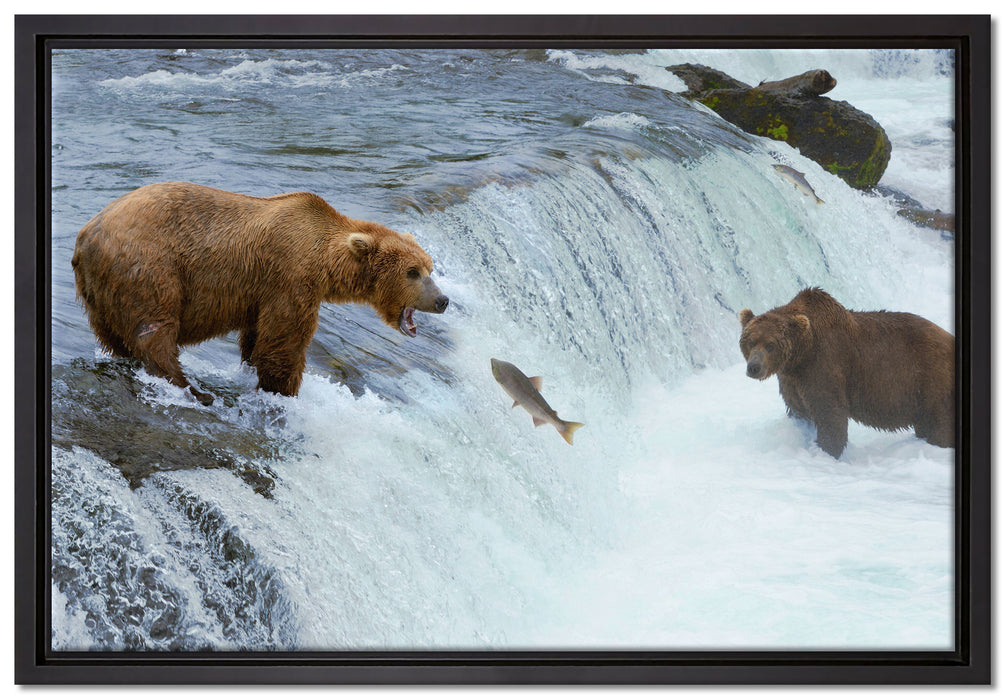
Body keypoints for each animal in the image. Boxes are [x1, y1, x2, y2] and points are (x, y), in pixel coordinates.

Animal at [72, 181, 449, 405]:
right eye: (412, 272)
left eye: (430, 267)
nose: (442, 300)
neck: (326, 261)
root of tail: (86, 234)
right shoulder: (291, 277)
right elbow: (284, 341)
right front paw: (284, 389)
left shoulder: (262, 292)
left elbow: (257, 337)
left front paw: (253, 368)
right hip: (149, 266)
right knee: (155, 330)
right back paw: (191, 388)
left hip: (99, 292)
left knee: (114, 335)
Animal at [738, 287, 954, 458]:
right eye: (750, 341)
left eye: (770, 344)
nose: (754, 367)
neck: (801, 355)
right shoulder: (792, 379)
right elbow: (798, 408)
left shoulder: (825, 365)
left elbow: (830, 414)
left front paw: (827, 450)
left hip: (932, 382)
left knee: (940, 426)